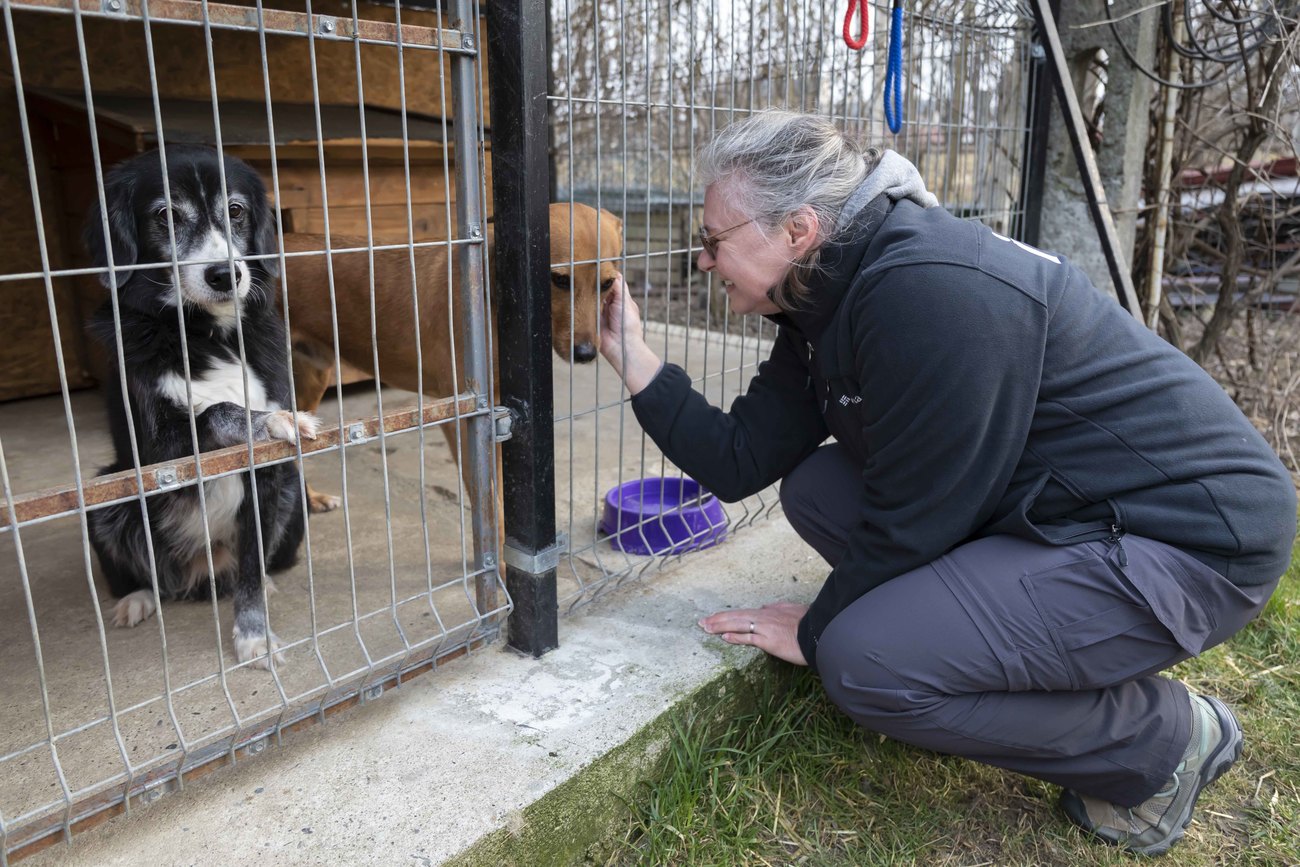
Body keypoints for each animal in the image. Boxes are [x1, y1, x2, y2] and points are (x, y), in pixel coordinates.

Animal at [84, 145, 317, 670]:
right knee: (146, 576)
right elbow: (214, 411)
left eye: (236, 210)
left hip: (293, 496)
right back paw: (137, 599)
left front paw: (252, 635)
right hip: (107, 498)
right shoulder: (157, 453)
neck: (207, 335)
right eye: (166, 215)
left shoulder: (268, 476)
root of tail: (201, 567)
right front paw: (267, 422)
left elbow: (250, 568)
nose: (225, 274)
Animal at [280, 201, 624, 514]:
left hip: (310, 384)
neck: (492, 295)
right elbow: (492, 504)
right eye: (560, 280)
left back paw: (311, 500)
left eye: (607, 284)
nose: (586, 354)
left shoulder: (498, 416)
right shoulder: (464, 418)